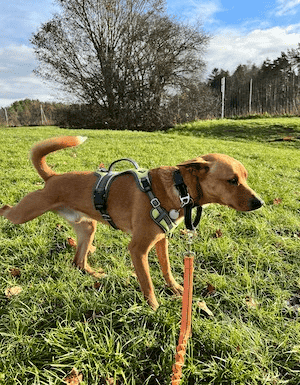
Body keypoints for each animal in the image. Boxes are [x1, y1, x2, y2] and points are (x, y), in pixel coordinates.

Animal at [0, 136, 262, 308]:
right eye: (232, 180)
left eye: (246, 177)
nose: (260, 202)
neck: (180, 188)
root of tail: (53, 177)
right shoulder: (138, 249)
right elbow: (147, 283)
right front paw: (154, 308)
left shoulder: (161, 241)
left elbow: (166, 269)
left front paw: (176, 288)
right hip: (23, 214)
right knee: (5, 209)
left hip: (87, 227)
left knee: (78, 262)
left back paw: (95, 274)